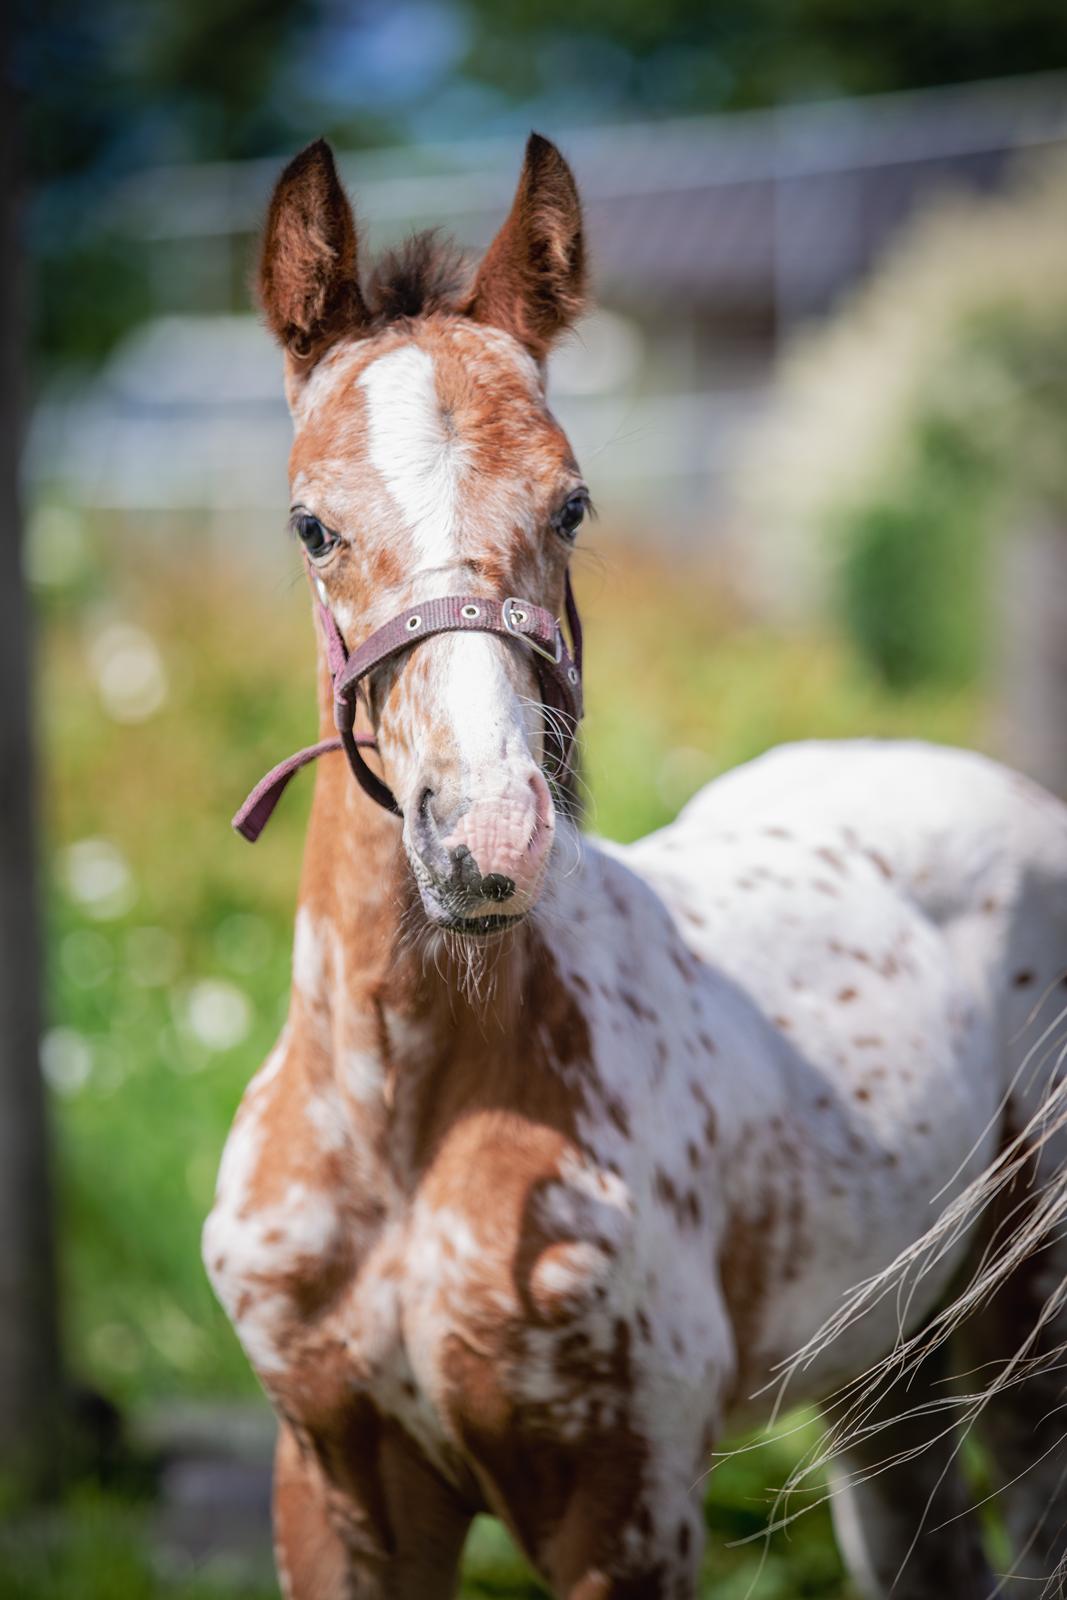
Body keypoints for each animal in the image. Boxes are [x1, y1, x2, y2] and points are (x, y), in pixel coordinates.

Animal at [206, 137, 1067, 1600]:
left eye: (570, 502)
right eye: (309, 524)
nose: (485, 840)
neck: (402, 1116)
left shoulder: (625, 1503)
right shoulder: (333, 1491)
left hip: (1029, 1330)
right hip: (883, 1363)